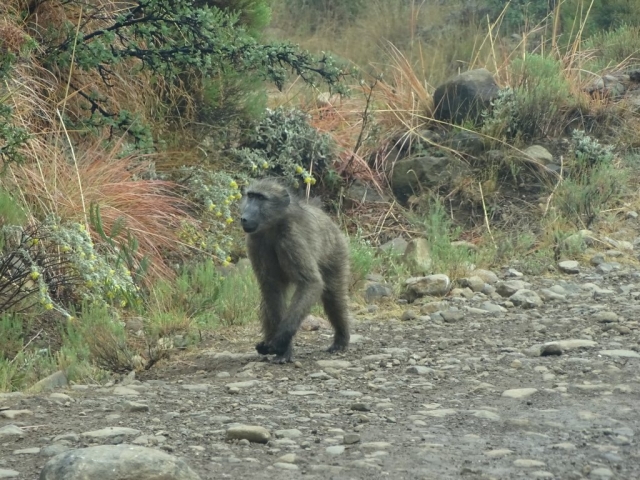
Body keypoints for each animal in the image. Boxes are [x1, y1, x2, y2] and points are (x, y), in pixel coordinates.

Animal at [240, 177, 351, 363]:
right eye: (251, 196)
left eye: (261, 198)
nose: (244, 218)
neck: (273, 226)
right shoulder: (254, 241)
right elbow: (271, 288)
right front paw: (282, 349)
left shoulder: (292, 238)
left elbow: (311, 283)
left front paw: (280, 342)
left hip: (336, 251)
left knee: (333, 296)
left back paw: (341, 340)